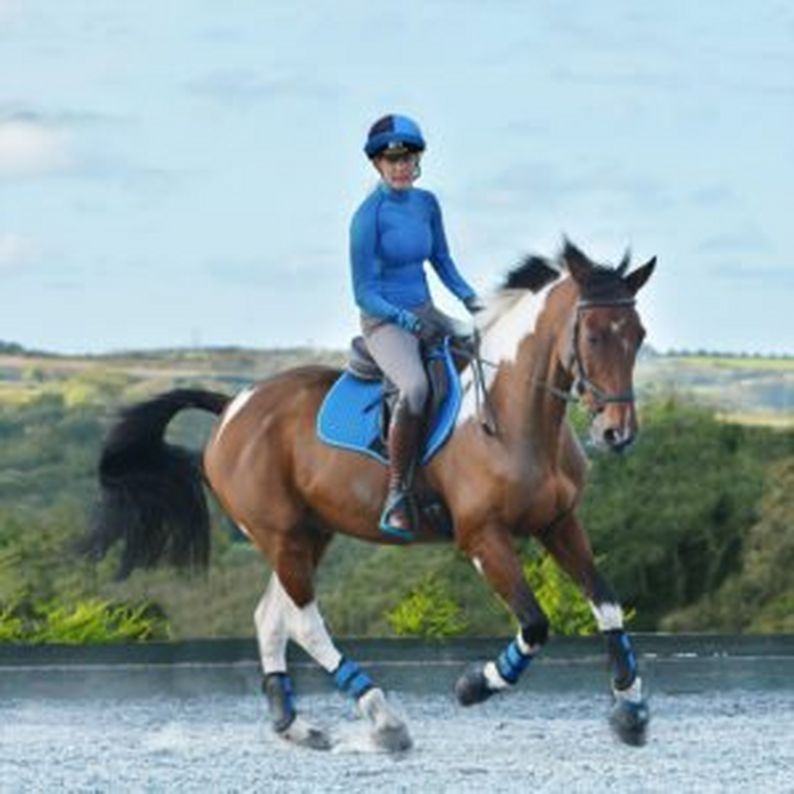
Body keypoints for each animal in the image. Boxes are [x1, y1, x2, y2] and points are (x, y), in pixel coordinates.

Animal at [83, 240, 656, 748]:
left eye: (638, 335)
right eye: (594, 336)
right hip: (280, 535)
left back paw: (294, 724)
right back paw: (382, 716)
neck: (518, 416)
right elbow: (535, 625)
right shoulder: (482, 537)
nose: (617, 433)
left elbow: (607, 604)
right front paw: (474, 685)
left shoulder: (559, 523)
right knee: (304, 622)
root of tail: (232, 408)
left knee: (271, 618)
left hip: (309, 533)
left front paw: (631, 709)